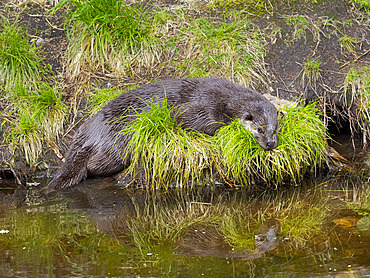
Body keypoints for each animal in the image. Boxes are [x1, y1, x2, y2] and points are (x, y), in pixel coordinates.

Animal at [46, 78, 278, 191]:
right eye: (259, 129)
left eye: (275, 129)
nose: (270, 143)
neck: (229, 100)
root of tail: (90, 133)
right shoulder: (207, 105)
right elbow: (190, 118)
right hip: (117, 144)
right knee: (96, 165)